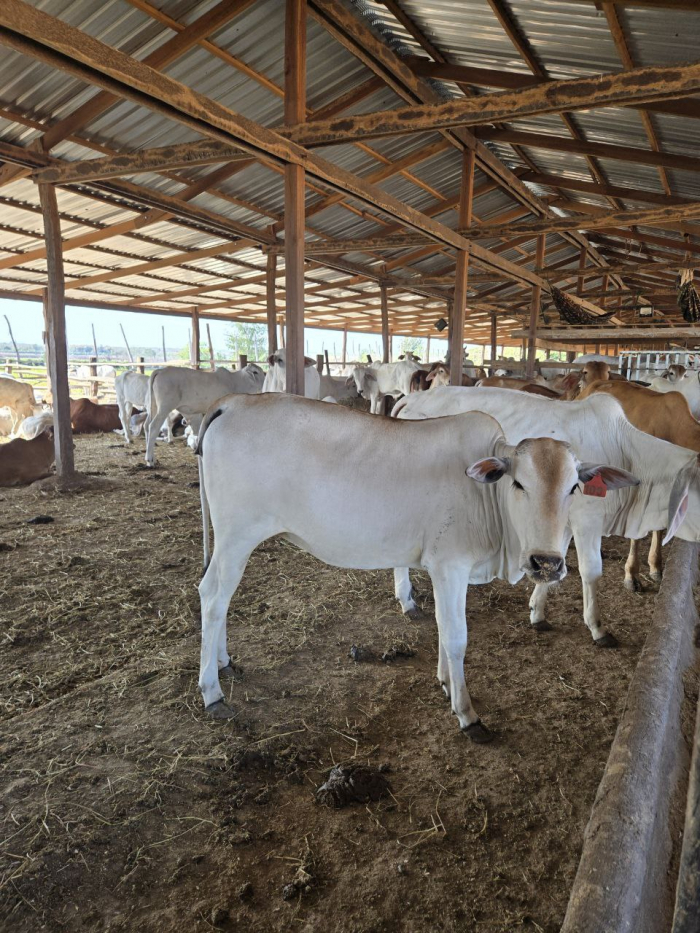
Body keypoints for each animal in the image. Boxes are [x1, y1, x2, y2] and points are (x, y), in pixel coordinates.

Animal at [194, 393, 631, 739]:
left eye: (574, 487)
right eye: (519, 483)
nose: (547, 563)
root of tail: (233, 401)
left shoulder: (445, 570)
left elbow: (441, 626)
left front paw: (445, 683)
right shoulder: (450, 565)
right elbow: (456, 637)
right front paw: (467, 713)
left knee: (220, 597)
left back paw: (224, 662)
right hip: (237, 535)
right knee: (213, 596)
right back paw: (212, 692)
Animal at [392, 386, 700, 647]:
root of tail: (412, 398)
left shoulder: (562, 522)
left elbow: (553, 564)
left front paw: (537, 613)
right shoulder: (587, 519)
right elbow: (591, 570)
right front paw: (598, 628)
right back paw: (407, 601)